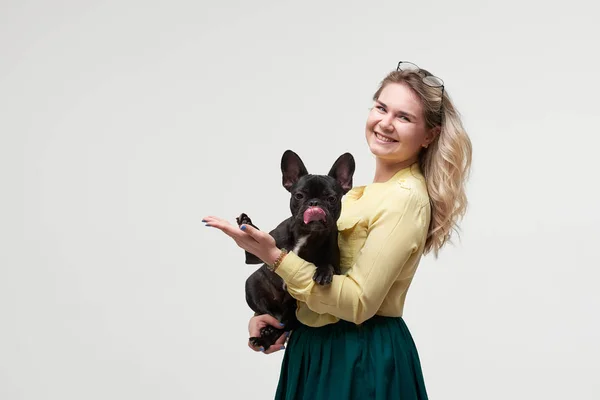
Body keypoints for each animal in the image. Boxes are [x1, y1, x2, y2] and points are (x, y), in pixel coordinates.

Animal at [236, 148, 356, 348]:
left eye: (331, 198)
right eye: (299, 195)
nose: (314, 203)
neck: (306, 233)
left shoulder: (336, 265)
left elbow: (328, 264)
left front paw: (323, 272)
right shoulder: (253, 256)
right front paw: (247, 223)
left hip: (293, 312)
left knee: (283, 324)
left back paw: (266, 336)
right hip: (253, 283)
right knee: (267, 314)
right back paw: (264, 332)